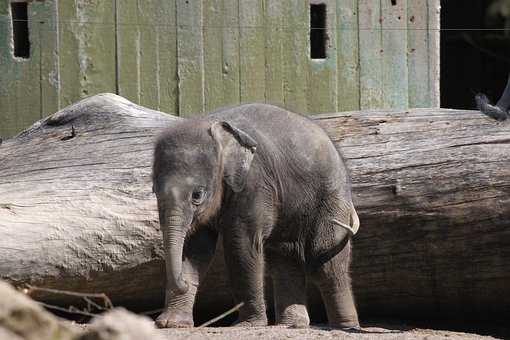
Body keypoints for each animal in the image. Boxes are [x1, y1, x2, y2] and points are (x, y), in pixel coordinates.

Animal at [151, 104, 358, 330]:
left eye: (197, 195)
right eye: (154, 191)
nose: (184, 283)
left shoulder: (255, 184)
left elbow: (241, 243)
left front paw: (247, 325)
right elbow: (196, 247)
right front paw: (171, 324)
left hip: (331, 198)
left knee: (326, 260)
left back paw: (346, 326)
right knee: (285, 258)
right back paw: (291, 325)